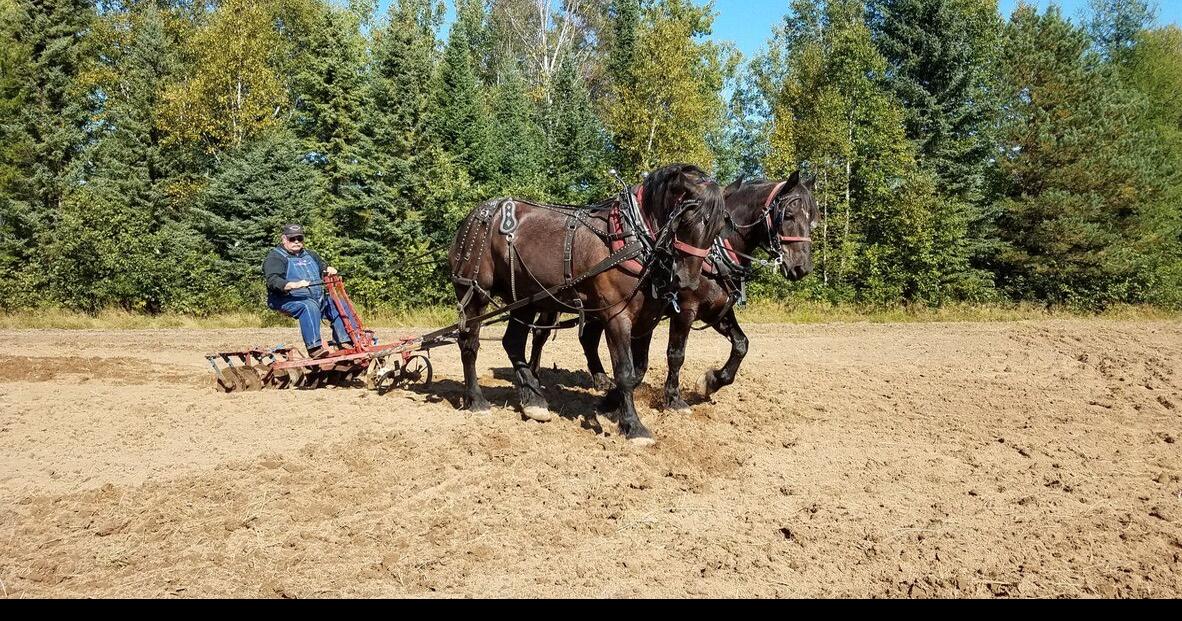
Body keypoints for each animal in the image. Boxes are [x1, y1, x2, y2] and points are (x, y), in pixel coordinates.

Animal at [447, 163, 728, 445]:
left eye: (717, 230)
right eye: (686, 220)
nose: (687, 281)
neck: (633, 238)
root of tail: (476, 215)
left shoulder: (646, 319)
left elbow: (639, 369)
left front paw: (609, 405)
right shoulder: (616, 317)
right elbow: (625, 372)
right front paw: (633, 425)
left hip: (524, 300)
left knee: (513, 342)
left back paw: (534, 400)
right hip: (474, 293)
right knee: (469, 344)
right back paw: (476, 400)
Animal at [526, 173, 819, 409]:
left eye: (813, 219)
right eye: (788, 215)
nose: (801, 267)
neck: (716, 252)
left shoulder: (717, 311)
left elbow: (741, 344)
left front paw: (712, 381)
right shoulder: (685, 310)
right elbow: (676, 354)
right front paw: (673, 398)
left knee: (587, 338)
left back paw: (600, 380)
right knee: (541, 335)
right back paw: (534, 375)